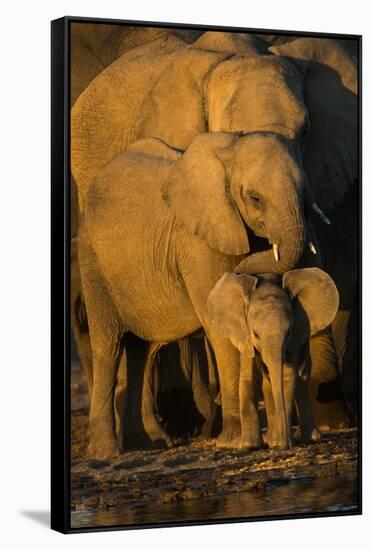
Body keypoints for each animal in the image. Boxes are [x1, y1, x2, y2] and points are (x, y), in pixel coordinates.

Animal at [208, 268, 338, 452]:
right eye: (255, 334)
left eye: (288, 333)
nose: (285, 445)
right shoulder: (245, 336)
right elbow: (249, 377)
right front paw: (249, 445)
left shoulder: (295, 336)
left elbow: (288, 376)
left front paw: (281, 442)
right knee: (268, 382)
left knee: (302, 378)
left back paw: (310, 438)